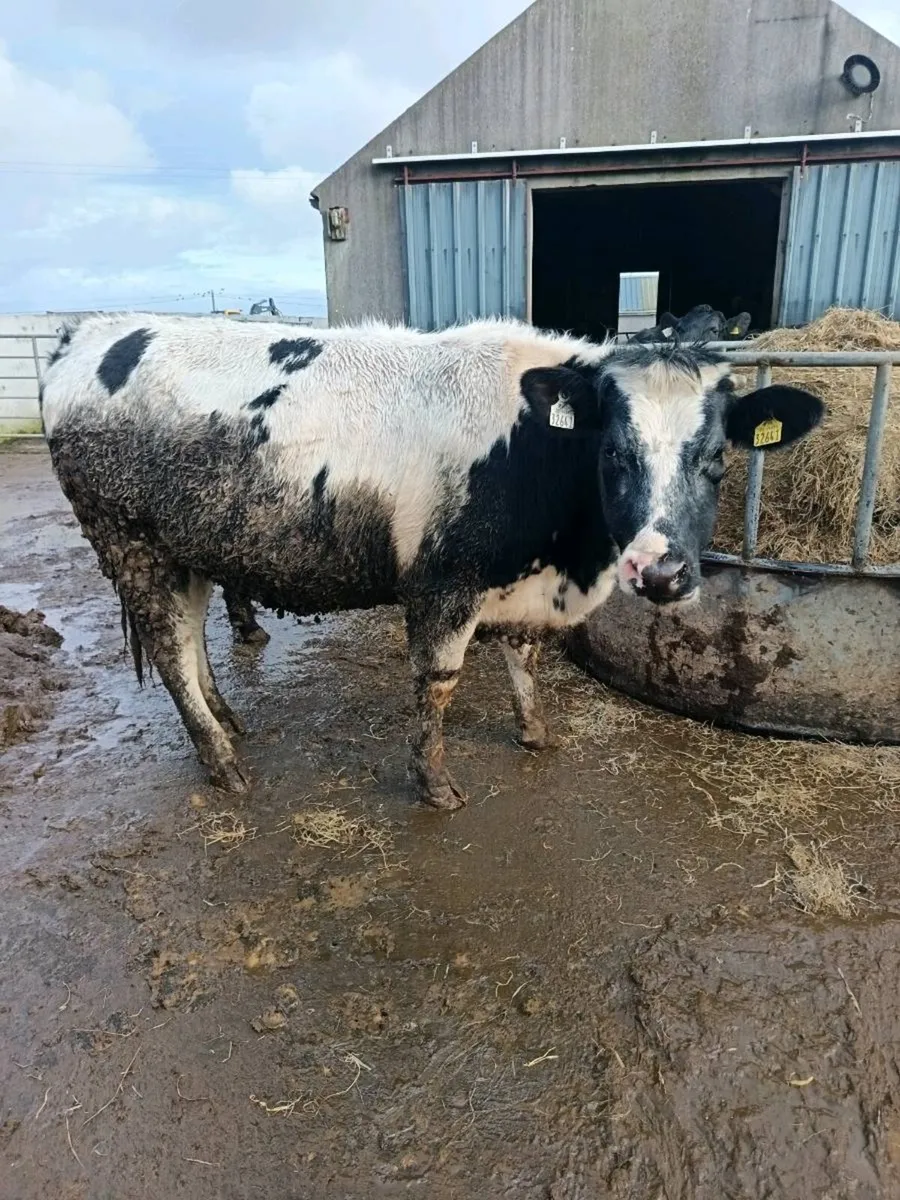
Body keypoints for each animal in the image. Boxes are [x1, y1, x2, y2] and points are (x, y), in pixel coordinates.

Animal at [40, 315, 823, 809]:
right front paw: (434, 782)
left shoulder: (520, 582)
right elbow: (438, 685)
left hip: (189, 549)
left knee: (191, 635)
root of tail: (90, 333)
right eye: (612, 452)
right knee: (169, 650)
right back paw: (223, 762)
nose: (660, 571)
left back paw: (227, 720)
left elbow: (524, 660)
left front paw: (535, 733)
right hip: (132, 544)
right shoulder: (445, 583)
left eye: (717, 457)